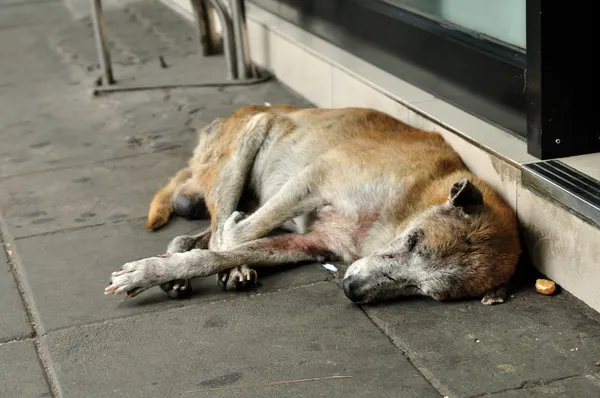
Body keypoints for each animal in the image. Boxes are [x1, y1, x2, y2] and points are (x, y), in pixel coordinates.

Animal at [106, 104, 520, 304]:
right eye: (413, 240)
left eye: (424, 292)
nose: (351, 289)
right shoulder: (316, 179)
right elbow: (233, 238)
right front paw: (152, 272)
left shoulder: (308, 244)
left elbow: (219, 250)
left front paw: (165, 270)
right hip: (252, 136)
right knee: (220, 222)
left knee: (199, 236)